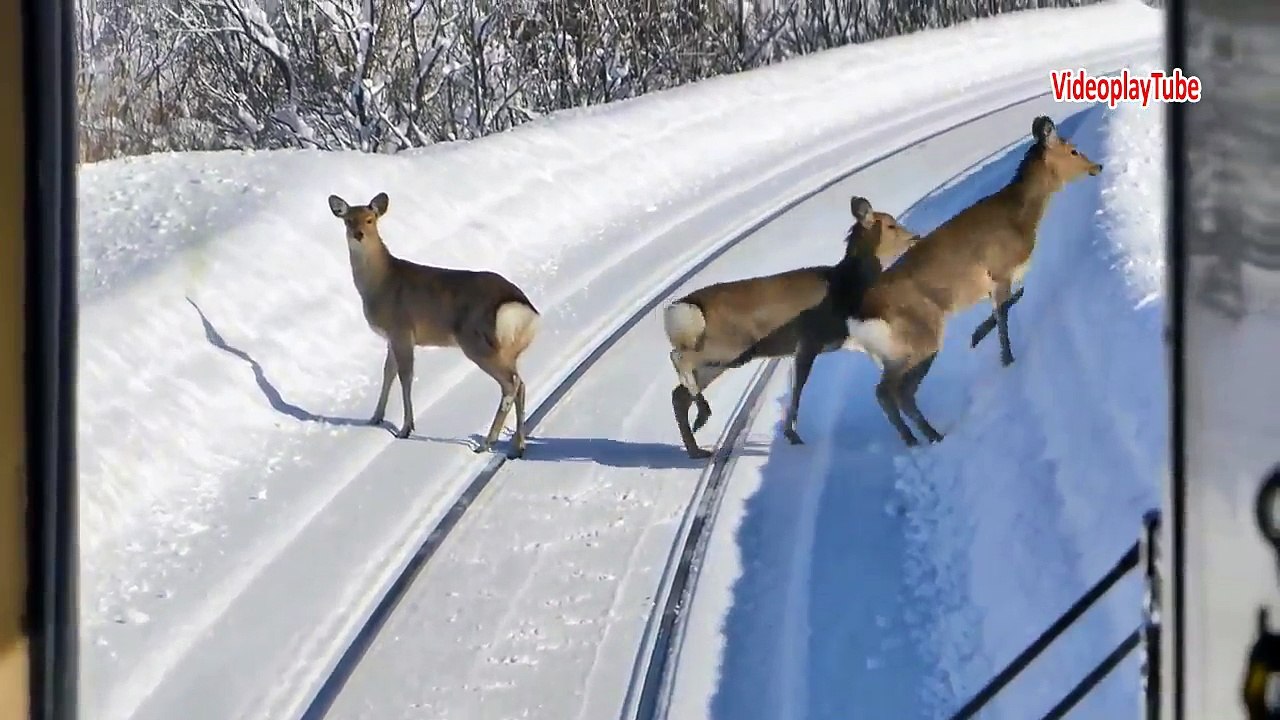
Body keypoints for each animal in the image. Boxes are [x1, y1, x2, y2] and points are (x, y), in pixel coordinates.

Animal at [327, 192, 541, 458]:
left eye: (370, 219)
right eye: (348, 220)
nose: (358, 234)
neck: (380, 283)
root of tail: (524, 310)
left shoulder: (402, 328)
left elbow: (405, 376)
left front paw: (406, 428)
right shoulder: (391, 337)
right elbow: (388, 372)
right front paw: (375, 418)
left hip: (477, 342)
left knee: (510, 384)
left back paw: (486, 443)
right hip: (507, 348)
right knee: (520, 383)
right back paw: (518, 445)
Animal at [662, 196, 919, 459]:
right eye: (890, 225)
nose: (915, 237)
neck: (847, 286)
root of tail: (682, 308)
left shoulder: (837, 340)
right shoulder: (810, 340)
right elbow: (798, 387)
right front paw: (792, 435)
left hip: (720, 359)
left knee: (678, 394)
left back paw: (696, 447)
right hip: (727, 348)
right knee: (678, 357)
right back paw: (703, 417)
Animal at [843, 115, 1103, 447]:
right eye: (1072, 150)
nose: (1097, 166)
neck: (1022, 218)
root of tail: (859, 319)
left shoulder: (995, 283)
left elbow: (1008, 304)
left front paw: (976, 337)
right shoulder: (1000, 270)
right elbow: (1004, 313)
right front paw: (1007, 358)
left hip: (894, 352)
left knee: (890, 392)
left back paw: (920, 438)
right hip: (920, 339)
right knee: (893, 391)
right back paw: (928, 438)